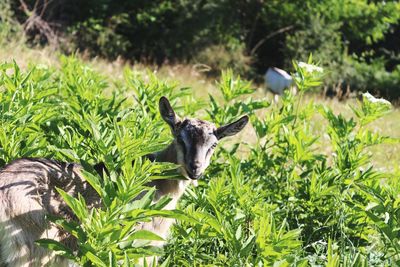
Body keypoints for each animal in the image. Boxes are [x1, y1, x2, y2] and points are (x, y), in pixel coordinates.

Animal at [0, 97, 248, 266]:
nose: (195, 168)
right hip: (35, 251)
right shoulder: (138, 247)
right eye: (180, 138)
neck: (157, 186)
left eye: (213, 145)